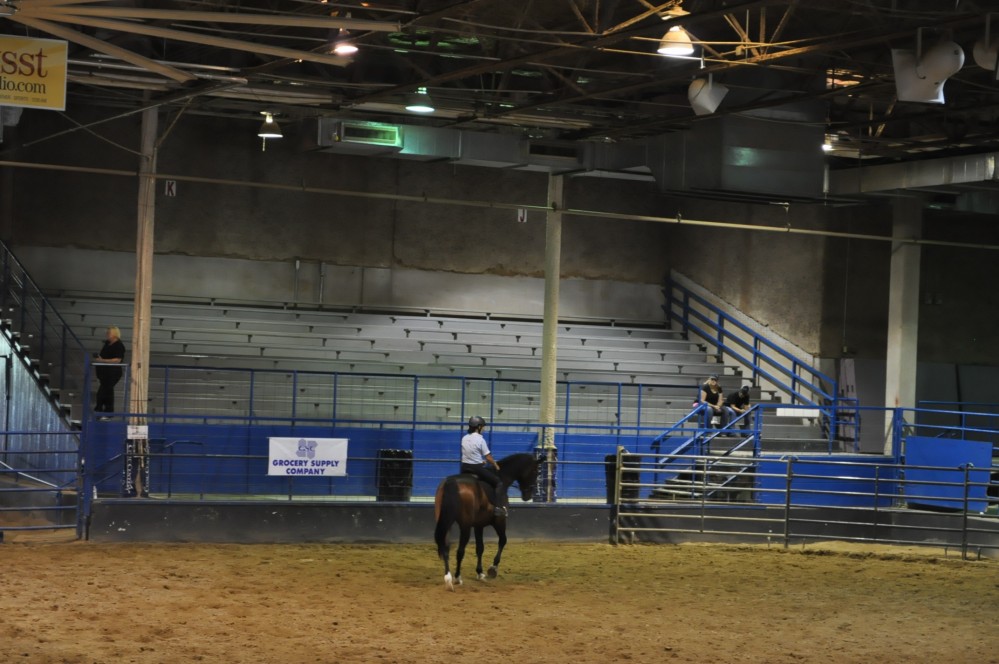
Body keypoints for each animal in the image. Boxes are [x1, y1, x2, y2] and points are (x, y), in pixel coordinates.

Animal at [430, 452, 540, 592]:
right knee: (460, 551)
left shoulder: (479, 525)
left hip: (446, 522)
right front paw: (493, 569)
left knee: (445, 547)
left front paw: (480, 573)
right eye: (535, 471)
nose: (528, 496)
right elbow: (503, 541)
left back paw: (448, 578)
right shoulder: (499, 521)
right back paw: (457, 577)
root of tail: (451, 482)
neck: (502, 477)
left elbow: (480, 548)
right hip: (465, 526)